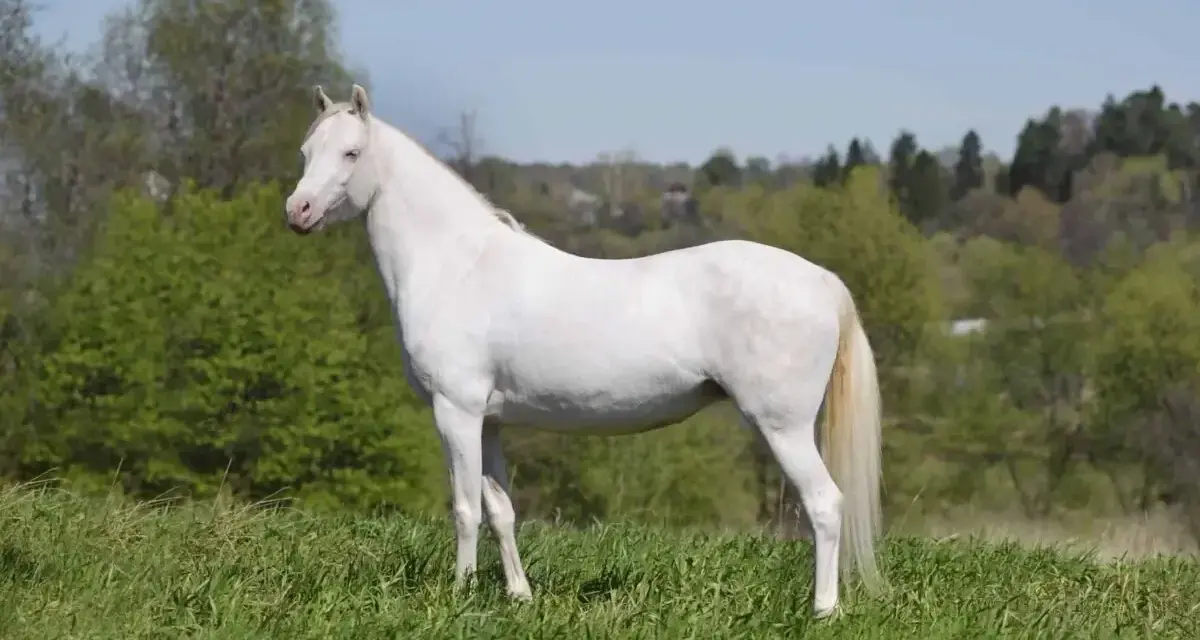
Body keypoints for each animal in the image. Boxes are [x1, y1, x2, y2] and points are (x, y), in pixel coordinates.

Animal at [284, 83, 886, 619]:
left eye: (352, 152)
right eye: (306, 151)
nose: (298, 211)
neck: (460, 265)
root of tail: (823, 281)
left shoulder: (455, 412)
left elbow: (464, 510)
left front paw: (458, 595)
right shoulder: (489, 421)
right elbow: (500, 510)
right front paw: (518, 597)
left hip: (782, 426)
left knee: (825, 505)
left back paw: (823, 610)